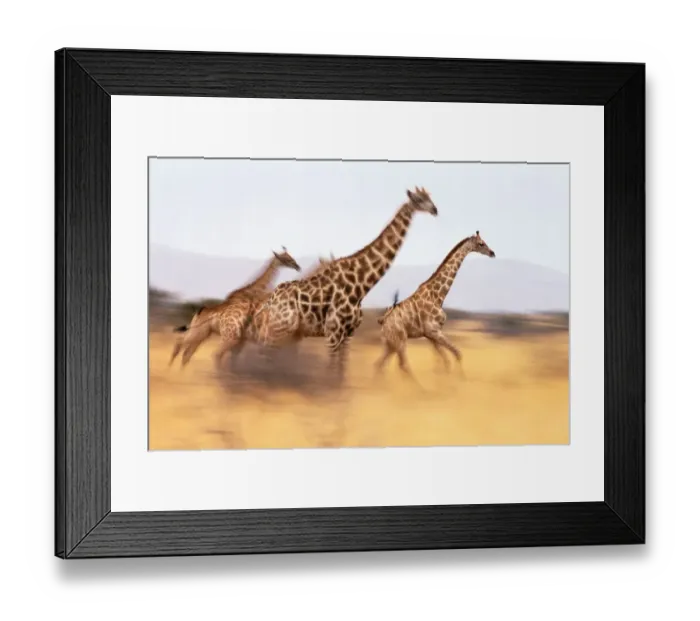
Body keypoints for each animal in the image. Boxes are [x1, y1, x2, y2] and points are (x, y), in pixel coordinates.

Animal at [169, 247, 301, 368]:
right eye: (286, 259)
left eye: (290, 256)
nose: (297, 266)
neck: (250, 292)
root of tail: (199, 312)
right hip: (200, 332)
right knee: (182, 344)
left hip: (203, 333)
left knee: (187, 352)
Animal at [247, 187, 439, 383]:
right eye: (419, 199)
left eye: (429, 197)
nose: (435, 210)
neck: (361, 285)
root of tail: (271, 300)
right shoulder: (333, 331)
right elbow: (331, 369)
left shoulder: (349, 333)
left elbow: (342, 369)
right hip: (280, 327)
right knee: (268, 352)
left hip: (290, 330)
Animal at [375, 231, 496, 377]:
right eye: (481, 243)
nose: (492, 253)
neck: (438, 296)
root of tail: (382, 321)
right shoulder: (433, 331)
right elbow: (456, 354)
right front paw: (460, 378)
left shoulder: (432, 334)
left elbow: (443, 361)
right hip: (400, 340)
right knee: (401, 365)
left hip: (390, 343)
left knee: (380, 364)